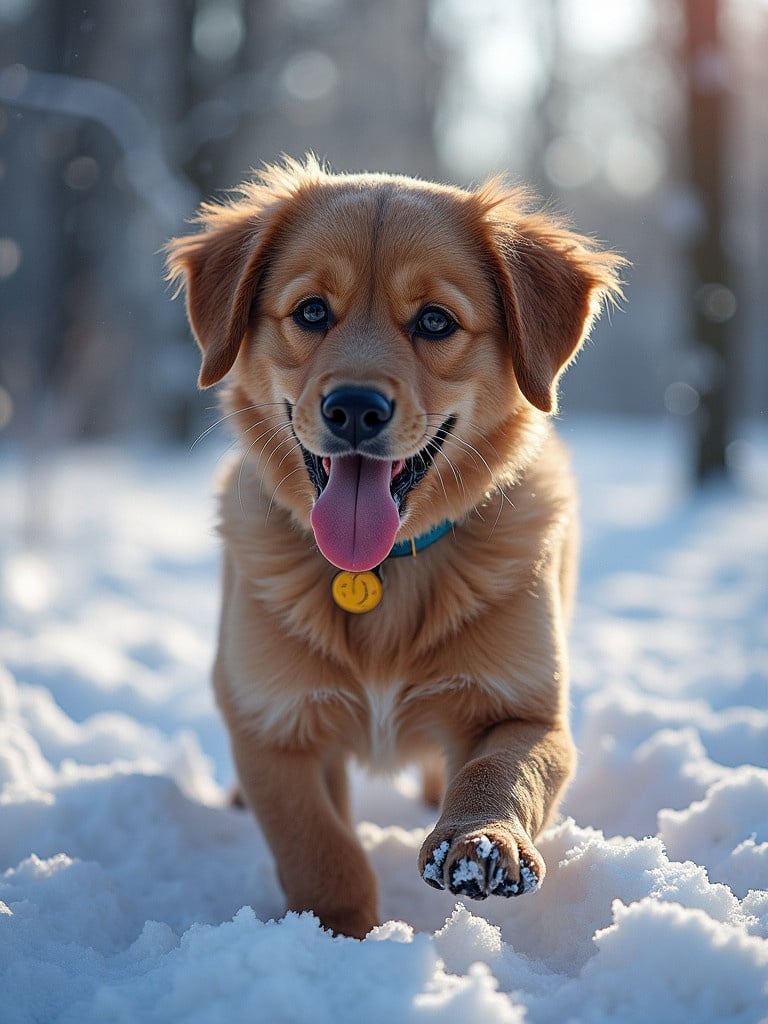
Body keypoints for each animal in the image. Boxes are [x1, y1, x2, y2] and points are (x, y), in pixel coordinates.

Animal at [166, 157, 626, 937]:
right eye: (311, 312)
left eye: (435, 320)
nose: (354, 408)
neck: (378, 569)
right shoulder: (272, 725)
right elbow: (318, 849)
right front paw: (339, 935)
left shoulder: (529, 709)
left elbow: (503, 774)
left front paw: (482, 841)